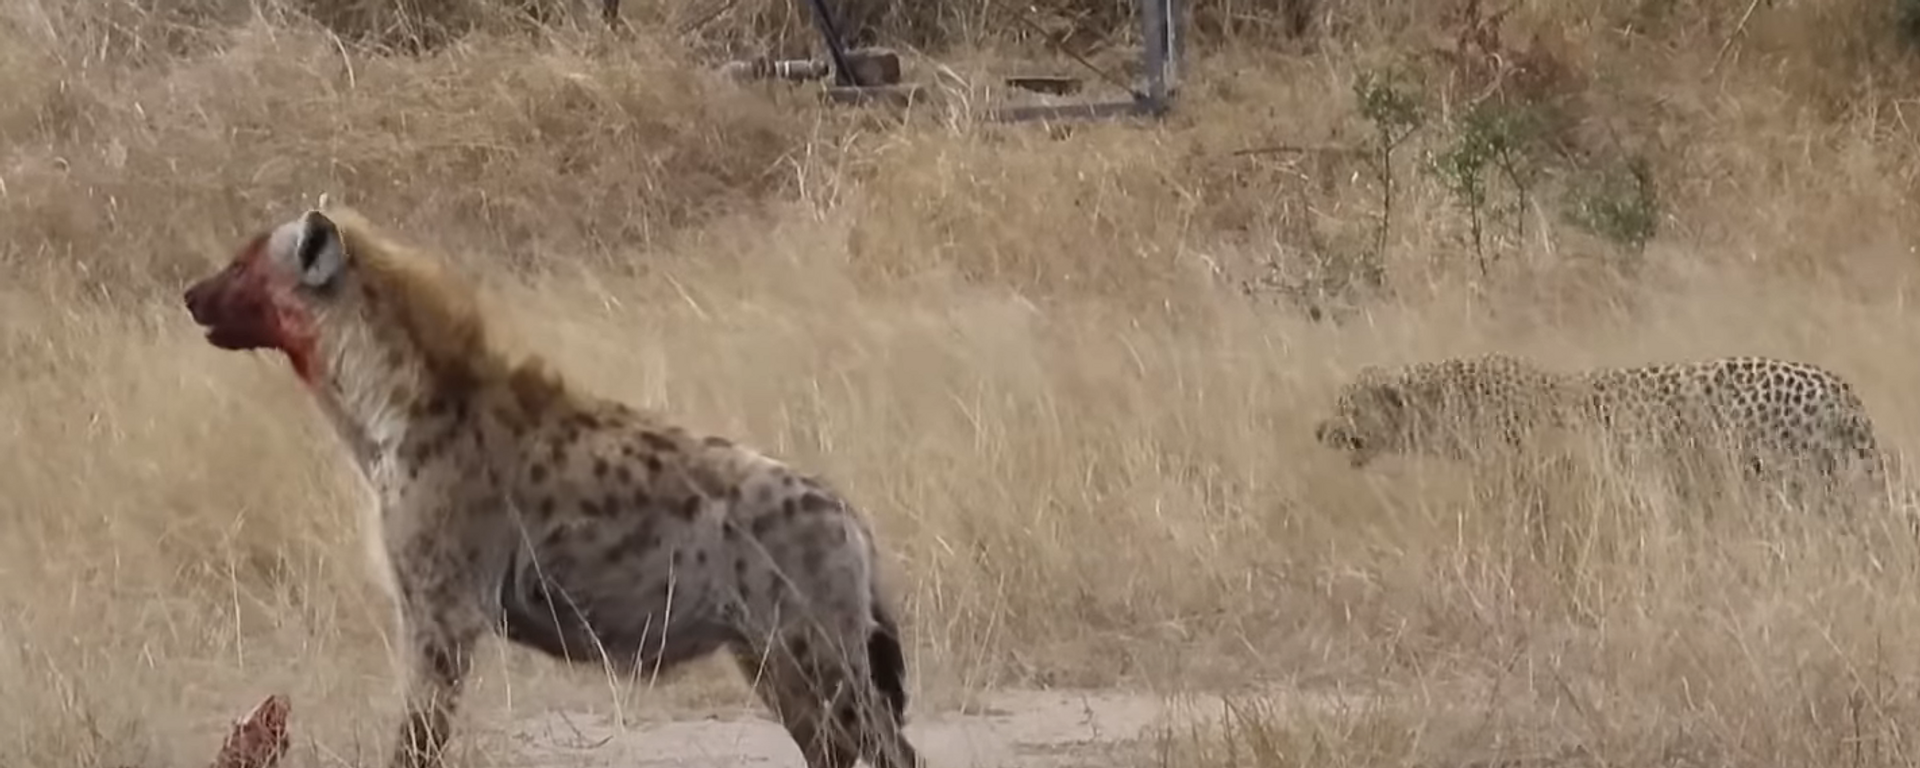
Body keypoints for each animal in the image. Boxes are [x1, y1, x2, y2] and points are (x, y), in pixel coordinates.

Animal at [180, 202, 921, 768]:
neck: (383, 411)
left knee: (887, 745)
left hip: (811, 641)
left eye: (242, 265)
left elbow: (416, 736)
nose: (189, 294)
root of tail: (851, 517)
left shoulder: (442, 609)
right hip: (767, 653)